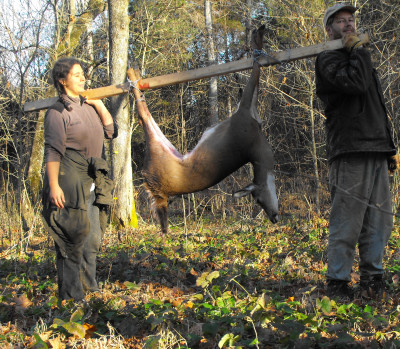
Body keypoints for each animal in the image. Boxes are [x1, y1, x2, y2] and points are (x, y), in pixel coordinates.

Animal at [128, 25, 278, 234]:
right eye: (258, 199)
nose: (274, 217)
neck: (258, 150)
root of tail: (156, 187)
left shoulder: (249, 117)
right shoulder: (243, 118)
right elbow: (254, 76)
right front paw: (258, 41)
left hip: (163, 149)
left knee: (147, 118)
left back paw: (135, 75)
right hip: (156, 158)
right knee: (143, 114)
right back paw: (133, 77)